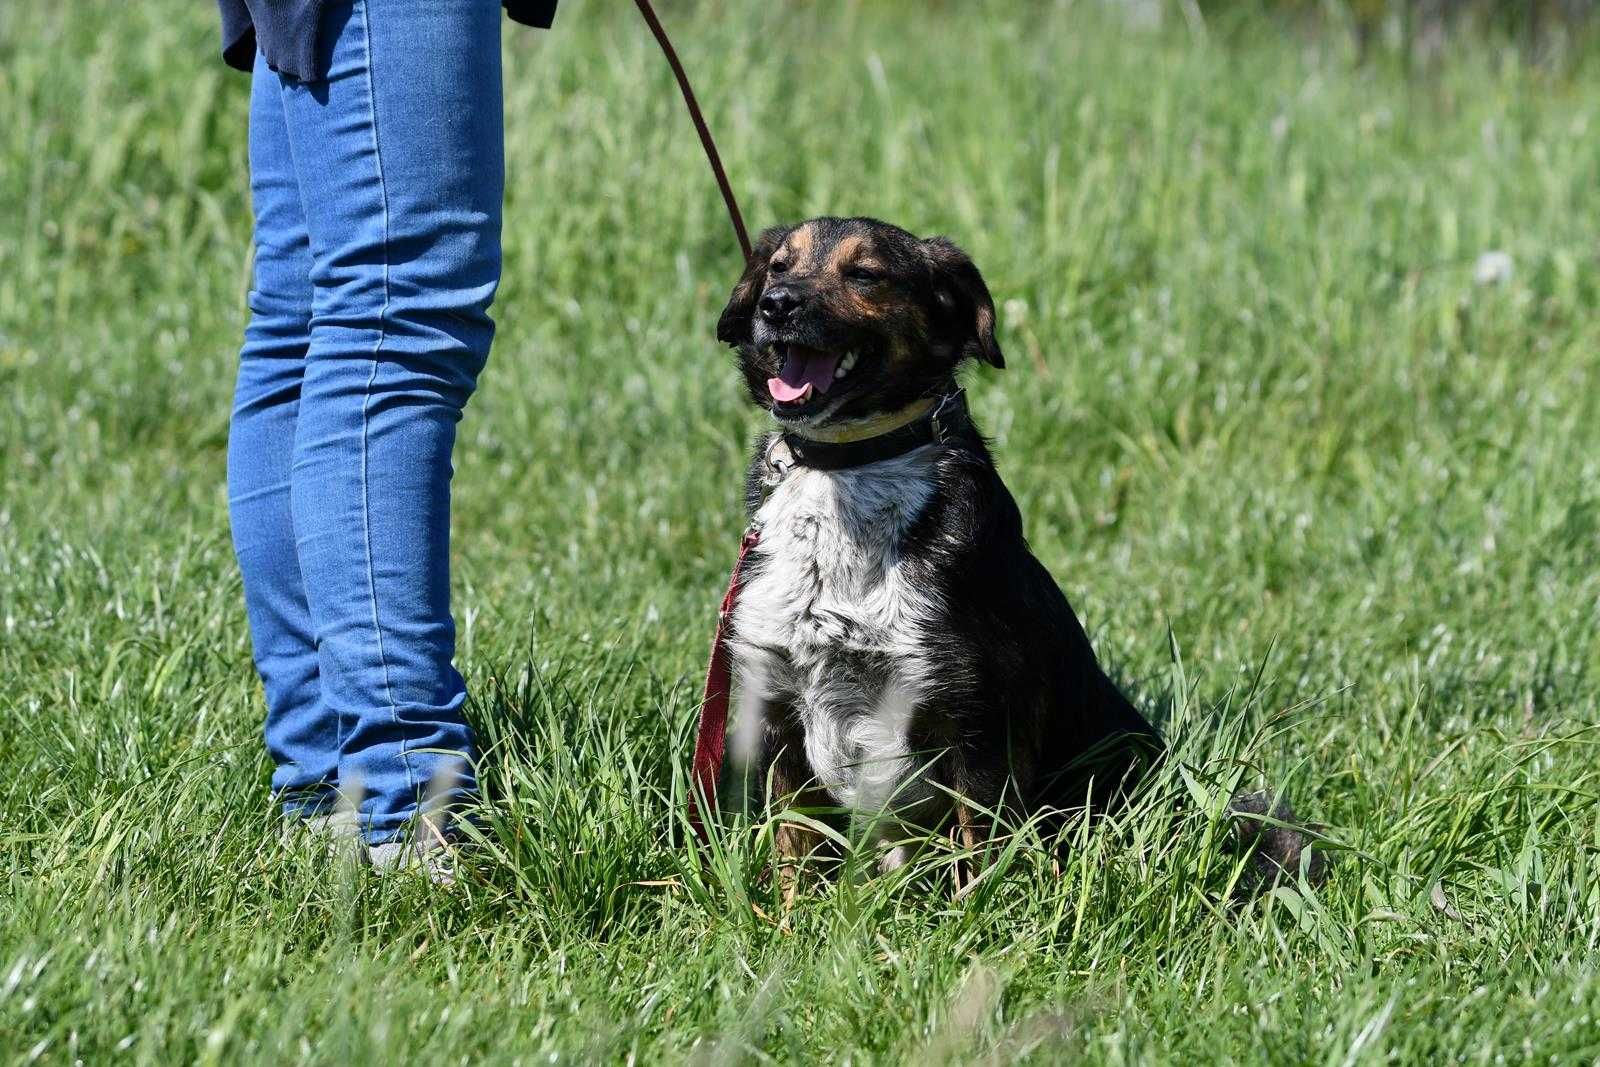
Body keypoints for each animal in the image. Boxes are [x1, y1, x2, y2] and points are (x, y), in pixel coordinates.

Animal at [720, 217, 1318, 895]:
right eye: (778, 266)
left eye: (865, 273)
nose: (777, 305)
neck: (848, 474)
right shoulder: (778, 712)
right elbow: (798, 860)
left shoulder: (976, 725)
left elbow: (975, 860)